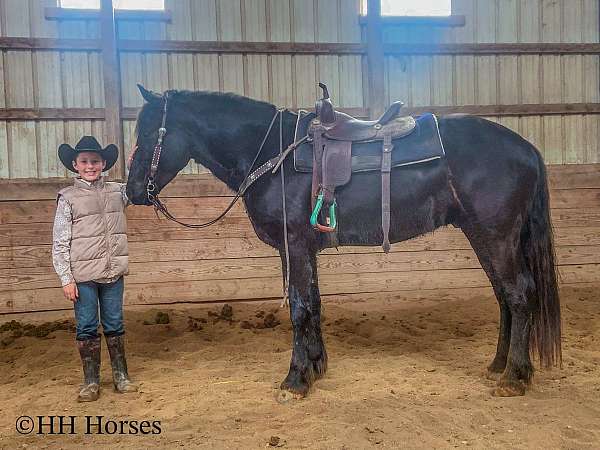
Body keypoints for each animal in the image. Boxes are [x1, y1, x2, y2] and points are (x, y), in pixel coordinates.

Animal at [127, 85, 564, 398]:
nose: (132, 191)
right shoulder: (303, 250)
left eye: (148, 134)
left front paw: (295, 380)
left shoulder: (295, 246)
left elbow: (300, 309)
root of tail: (527, 149)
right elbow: (314, 305)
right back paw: (499, 365)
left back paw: (515, 377)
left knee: (519, 294)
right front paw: (316, 367)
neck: (271, 153)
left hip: (498, 235)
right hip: (482, 235)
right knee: (504, 297)